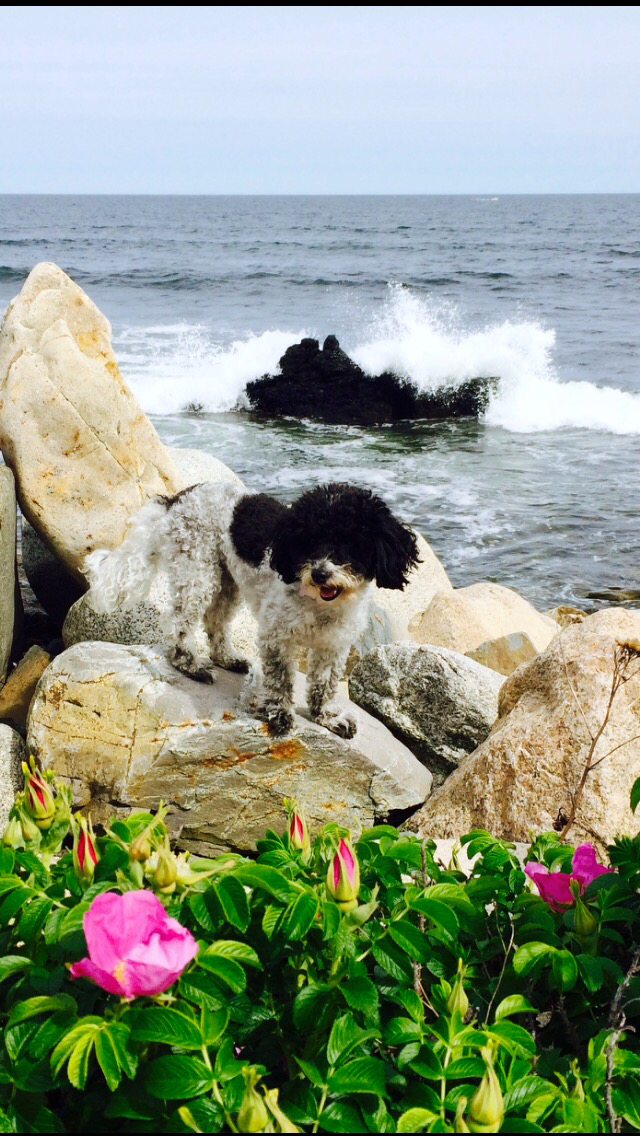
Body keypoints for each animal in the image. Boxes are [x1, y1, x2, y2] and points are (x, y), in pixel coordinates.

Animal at [85, 480, 419, 738]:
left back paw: (226, 658)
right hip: (197, 571)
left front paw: (325, 717)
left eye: (351, 545)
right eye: (309, 542)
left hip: (228, 581)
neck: (320, 606)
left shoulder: (333, 646)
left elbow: (324, 685)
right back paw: (189, 664)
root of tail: (178, 496)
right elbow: (281, 680)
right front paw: (281, 717)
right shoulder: (276, 636)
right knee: (180, 622)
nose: (320, 574)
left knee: (216, 621)